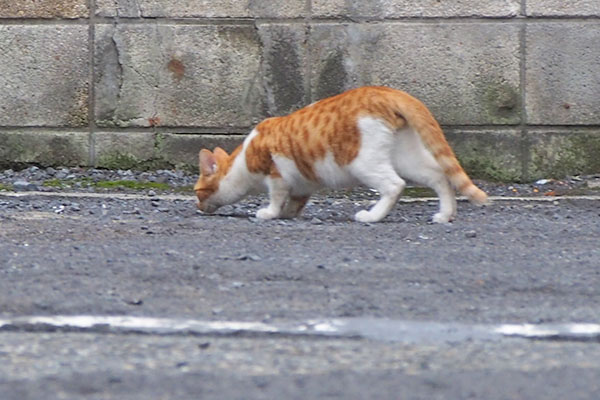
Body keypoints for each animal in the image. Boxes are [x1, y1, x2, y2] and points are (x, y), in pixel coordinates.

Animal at [195, 86, 486, 223]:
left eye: (198, 192)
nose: (197, 208)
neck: (243, 158)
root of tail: (387, 91)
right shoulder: (302, 181)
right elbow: (296, 201)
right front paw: (288, 214)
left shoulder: (276, 172)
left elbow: (276, 196)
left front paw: (270, 213)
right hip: (406, 156)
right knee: (439, 175)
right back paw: (445, 214)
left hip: (362, 161)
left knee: (395, 185)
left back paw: (372, 216)